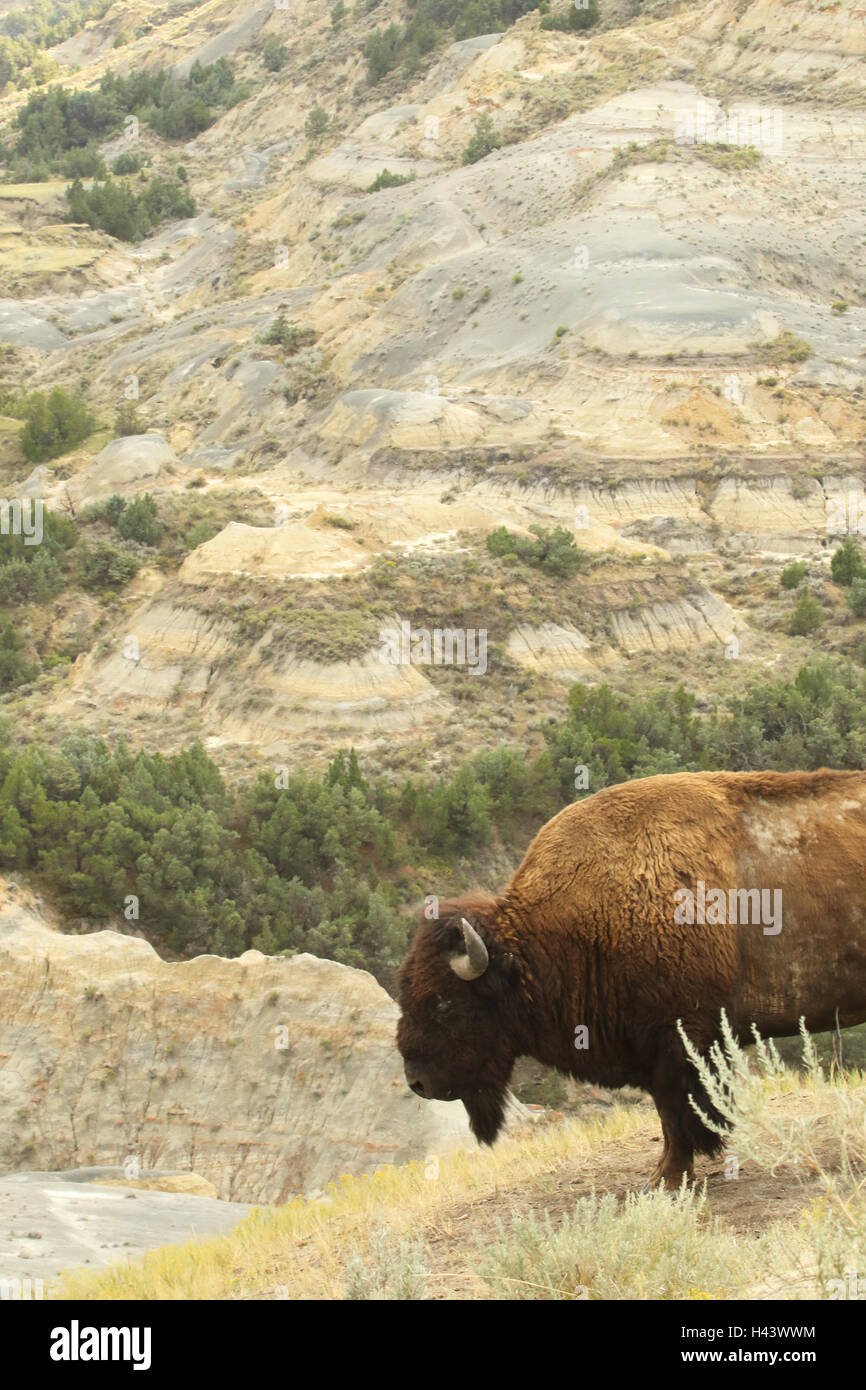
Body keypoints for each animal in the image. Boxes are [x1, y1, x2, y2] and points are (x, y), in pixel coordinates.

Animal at [397, 767, 866, 1189]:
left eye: (443, 1003)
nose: (417, 1082)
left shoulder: (680, 1039)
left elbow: (679, 1112)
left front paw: (668, 1179)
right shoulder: (650, 1046)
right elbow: (667, 1112)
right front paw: (663, 1176)